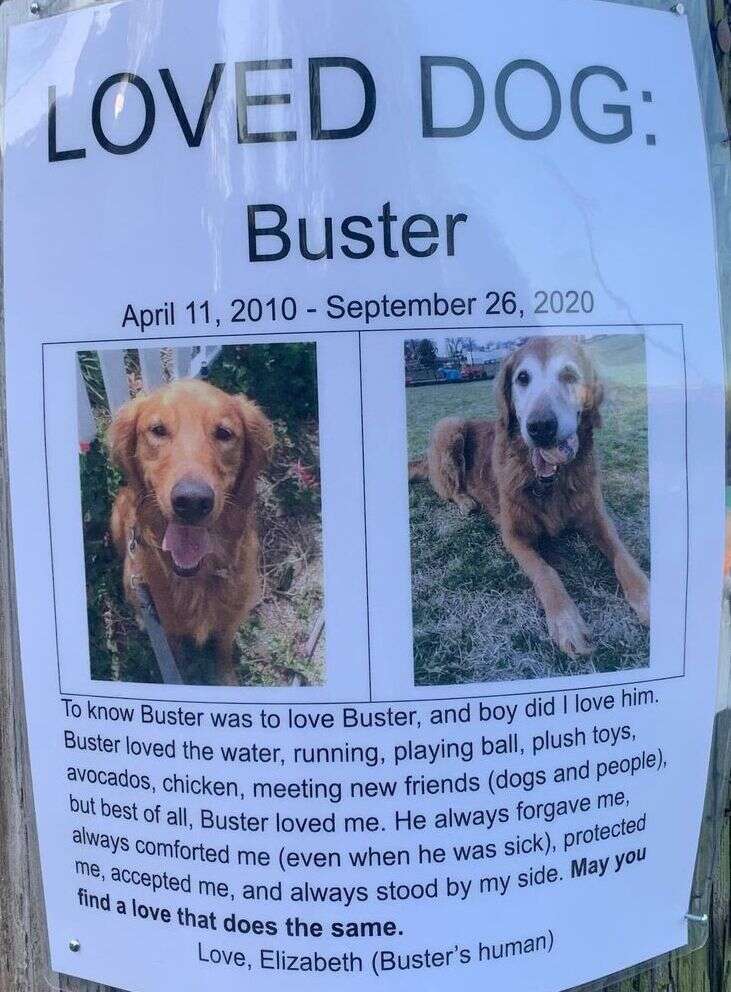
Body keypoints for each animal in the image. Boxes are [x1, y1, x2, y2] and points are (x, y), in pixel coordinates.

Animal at [111, 376, 274, 684]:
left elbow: (223, 651)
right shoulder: (168, 628)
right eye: (158, 430)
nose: (192, 501)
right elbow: (175, 657)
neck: (198, 576)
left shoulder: (230, 620)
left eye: (224, 433)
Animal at [412, 338, 652, 656]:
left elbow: (623, 556)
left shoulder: (598, 518)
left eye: (569, 375)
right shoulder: (514, 536)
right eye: (522, 378)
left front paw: (648, 598)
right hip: (448, 427)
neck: (550, 482)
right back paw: (466, 502)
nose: (540, 427)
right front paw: (567, 622)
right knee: (449, 489)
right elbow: (546, 572)